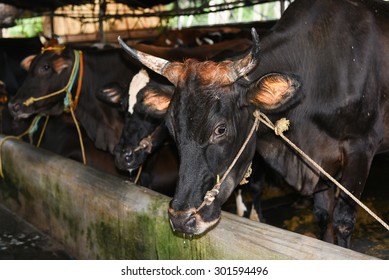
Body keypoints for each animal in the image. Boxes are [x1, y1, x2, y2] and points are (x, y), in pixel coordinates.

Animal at [118, 0, 388, 249]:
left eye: (220, 129)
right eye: (172, 129)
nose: (182, 218)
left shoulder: (359, 149)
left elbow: (343, 220)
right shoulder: (319, 164)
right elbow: (323, 217)